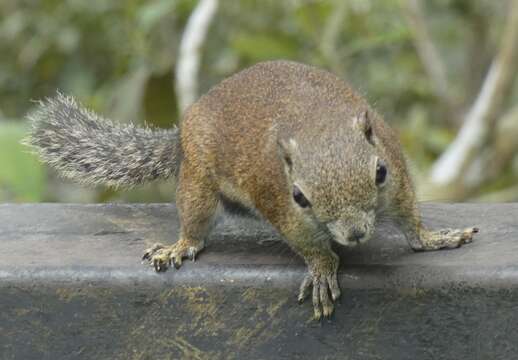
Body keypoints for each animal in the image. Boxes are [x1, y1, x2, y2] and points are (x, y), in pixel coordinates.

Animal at [24, 59, 480, 320]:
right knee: (194, 222)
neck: (317, 125)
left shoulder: (398, 179)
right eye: (299, 197)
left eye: (380, 172)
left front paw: (435, 238)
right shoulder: (279, 205)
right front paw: (322, 269)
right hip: (198, 183)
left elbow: (410, 220)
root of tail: (181, 135)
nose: (355, 234)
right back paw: (180, 245)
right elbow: (308, 245)